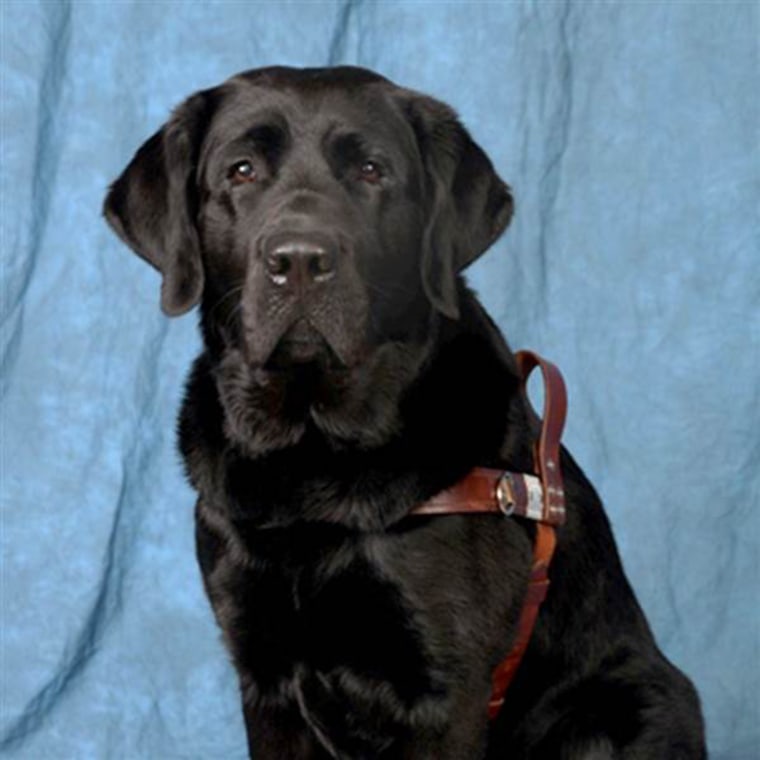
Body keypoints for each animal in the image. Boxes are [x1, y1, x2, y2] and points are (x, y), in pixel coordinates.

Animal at [102, 68, 708, 756]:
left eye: (371, 170)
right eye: (242, 170)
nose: (300, 259)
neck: (313, 460)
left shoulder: (446, 689)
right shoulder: (264, 677)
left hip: (625, 706)